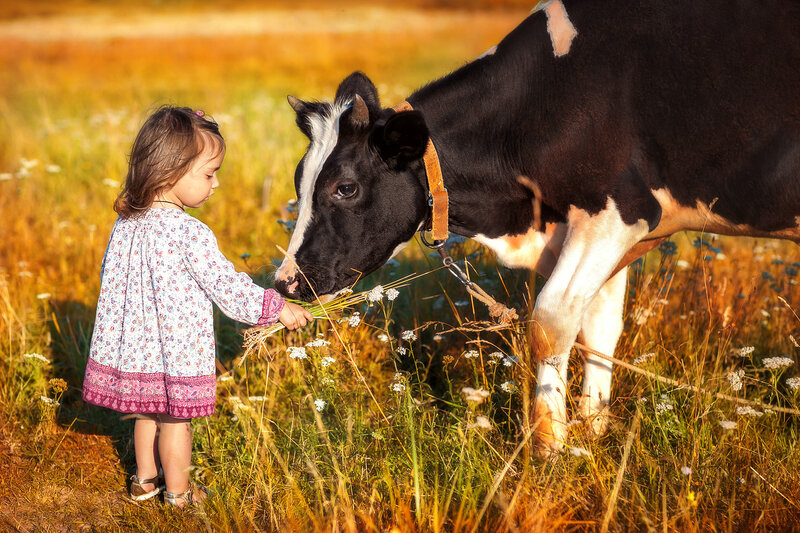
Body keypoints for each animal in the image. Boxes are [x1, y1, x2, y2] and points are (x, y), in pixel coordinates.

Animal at [274, 0, 800, 456]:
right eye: (300, 181)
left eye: (344, 188)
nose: (285, 282)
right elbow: (599, 328)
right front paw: (593, 429)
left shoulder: (615, 209)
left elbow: (551, 322)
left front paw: (551, 446)